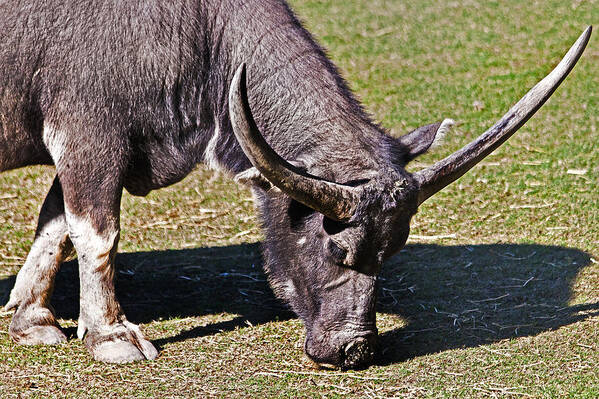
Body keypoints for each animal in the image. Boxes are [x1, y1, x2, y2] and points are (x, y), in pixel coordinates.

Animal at [0, 0, 592, 368]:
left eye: (391, 250)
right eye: (335, 245)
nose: (354, 350)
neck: (202, 31)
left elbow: (55, 227)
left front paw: (33, 318)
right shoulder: (91, 135)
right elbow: (96, 234)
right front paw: (110, 336)